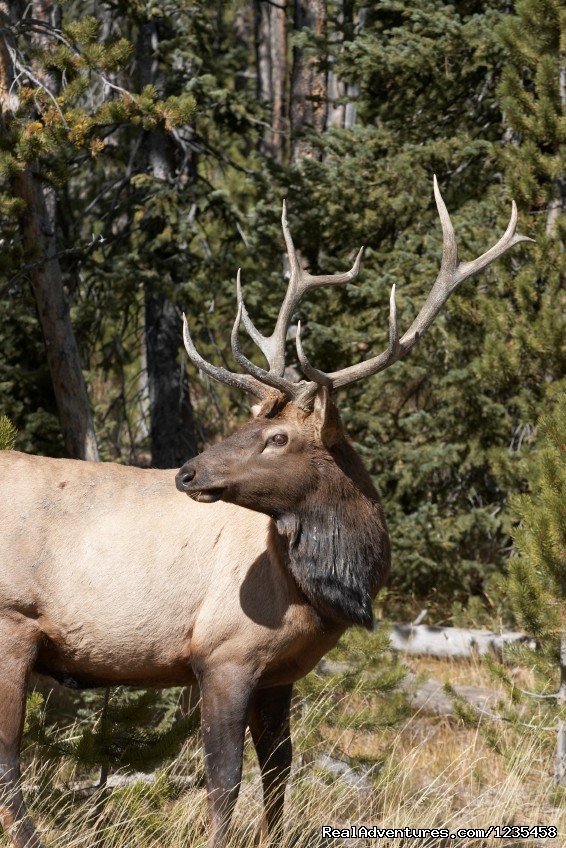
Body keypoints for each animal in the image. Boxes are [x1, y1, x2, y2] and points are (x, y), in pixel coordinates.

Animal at [1, 176, 532, 844]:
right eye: (254, 423)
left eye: (276, 436)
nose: (187, 472)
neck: (322, 590)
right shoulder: (223, 654)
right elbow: (225, 780)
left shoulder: (282, 672)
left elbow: (280, 772)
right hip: (12, 627)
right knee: (9, 761)